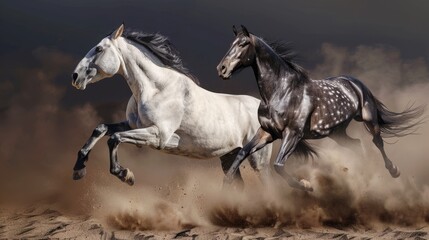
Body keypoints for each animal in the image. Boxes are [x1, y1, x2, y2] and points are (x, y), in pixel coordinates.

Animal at [70, 24, 270, 186]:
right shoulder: (133, 125)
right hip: (229, 157)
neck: (157, 89)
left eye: (98, 49)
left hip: (258, 160)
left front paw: (126, 175)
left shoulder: (159, 135)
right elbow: (101, 129)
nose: (75, 77)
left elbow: (115, 138)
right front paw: (79, 169)